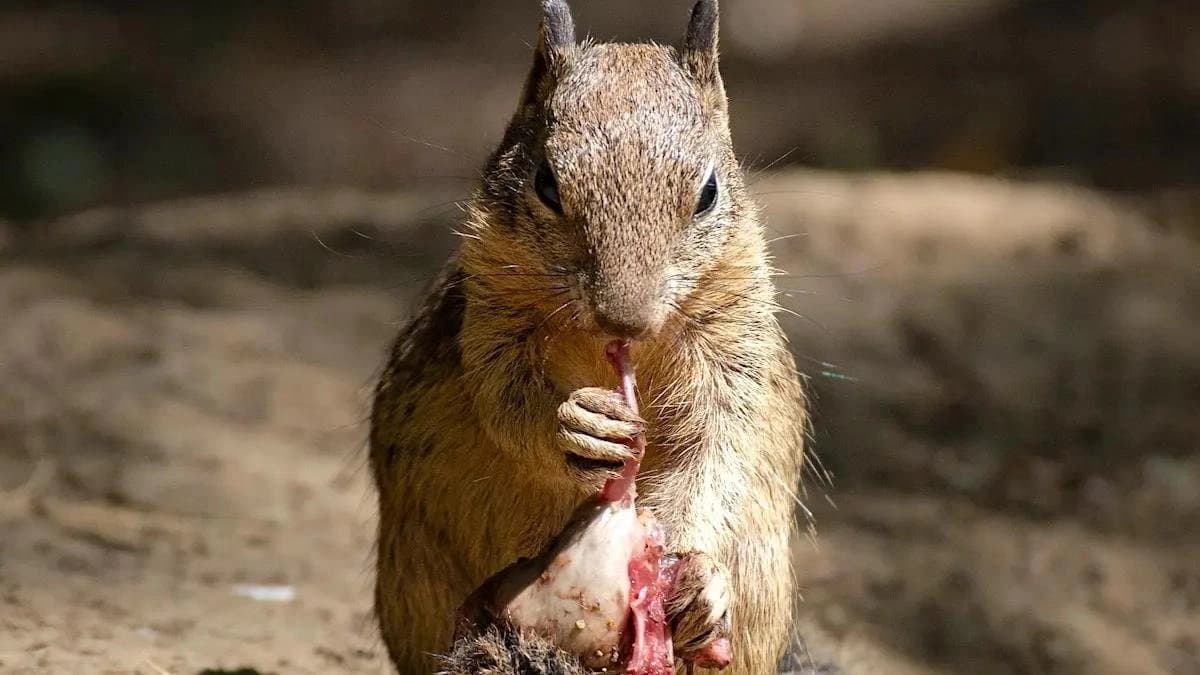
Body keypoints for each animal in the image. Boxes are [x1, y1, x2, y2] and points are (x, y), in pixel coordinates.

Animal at [368, 0, 807, 672]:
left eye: (708, 193)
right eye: (546, 184)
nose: (624, 321)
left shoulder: (733, 344)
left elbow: (720, 446)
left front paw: (700, 578)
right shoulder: (492, 321)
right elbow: (505, 401)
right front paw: (578, 426)